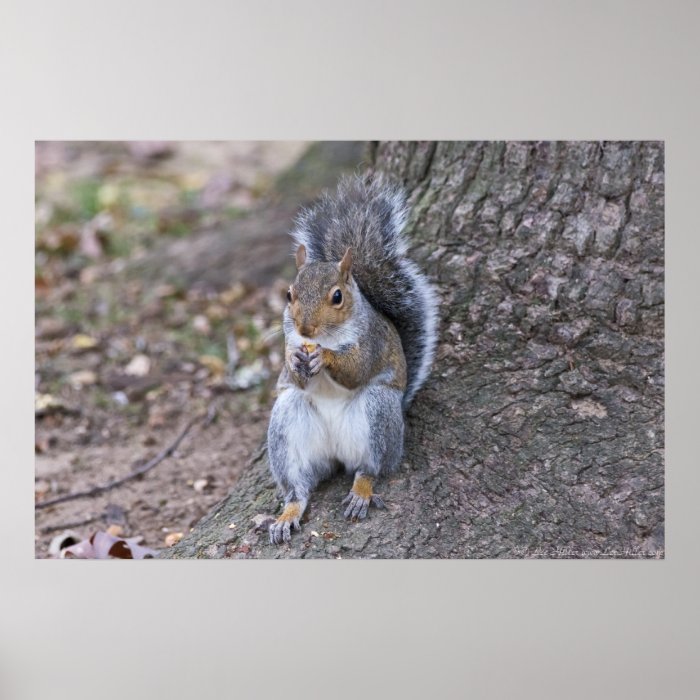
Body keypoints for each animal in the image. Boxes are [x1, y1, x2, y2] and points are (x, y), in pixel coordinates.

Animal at [268, 176, 438, 548]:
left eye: (337, 297)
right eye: (289, 295)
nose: (305, 329)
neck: (327, 336)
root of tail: (336, 454)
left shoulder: (371, 342)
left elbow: (356, 369)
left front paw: (325, 357)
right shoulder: (290, 342)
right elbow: (291, 371)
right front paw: (296, 359)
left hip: (378, 412)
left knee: (371, 468)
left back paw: (361, 490)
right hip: (288, 422)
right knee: (298, 487)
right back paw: (288, 514)